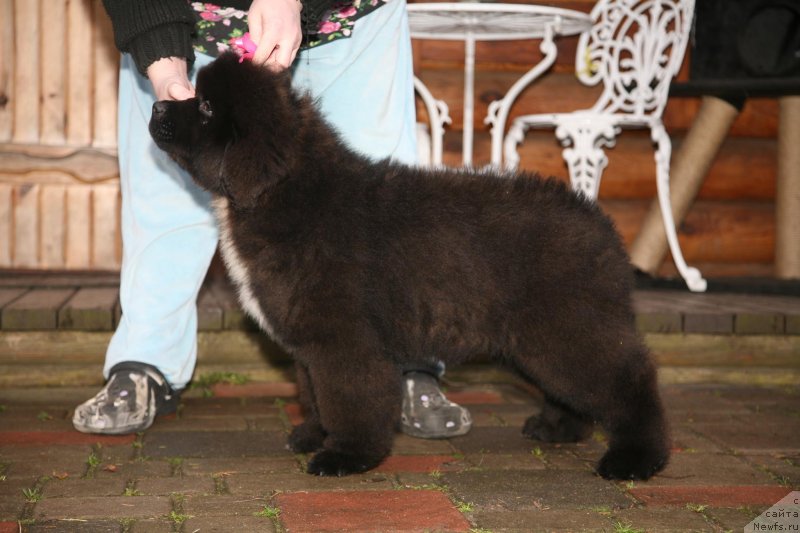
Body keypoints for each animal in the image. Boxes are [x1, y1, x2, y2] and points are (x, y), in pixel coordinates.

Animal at [148, 52, 668, 480]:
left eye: (207, 108)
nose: (156, 108)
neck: (285, 193)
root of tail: (598, 221)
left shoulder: (345, 339)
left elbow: (349, 398)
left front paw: (346, 456)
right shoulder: (310, 342)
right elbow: (314, 394)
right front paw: (313, 436)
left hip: (569, 327)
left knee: (629, 381)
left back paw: (636, 459)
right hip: (543, 337)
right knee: (574, 387)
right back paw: (559, 428)